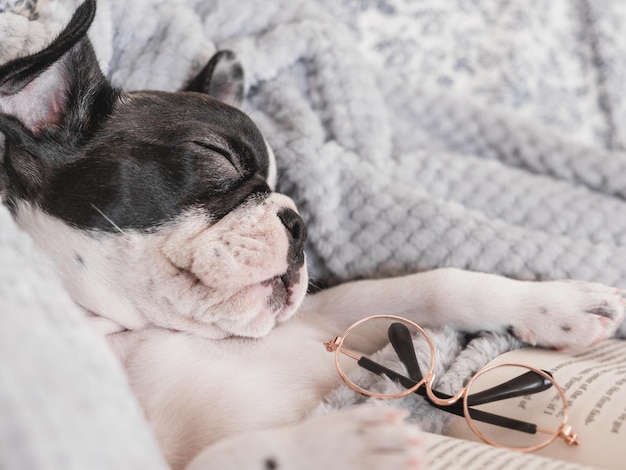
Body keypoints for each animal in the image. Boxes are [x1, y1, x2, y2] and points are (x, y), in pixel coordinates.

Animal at [1, 1, 624, 468]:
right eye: (215, 156)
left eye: (283, 185)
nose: (298, 221)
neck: (136, 330)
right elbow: (222, 458)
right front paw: (346, 440)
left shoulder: (328, 318)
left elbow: (434, 284)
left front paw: (556, 301)